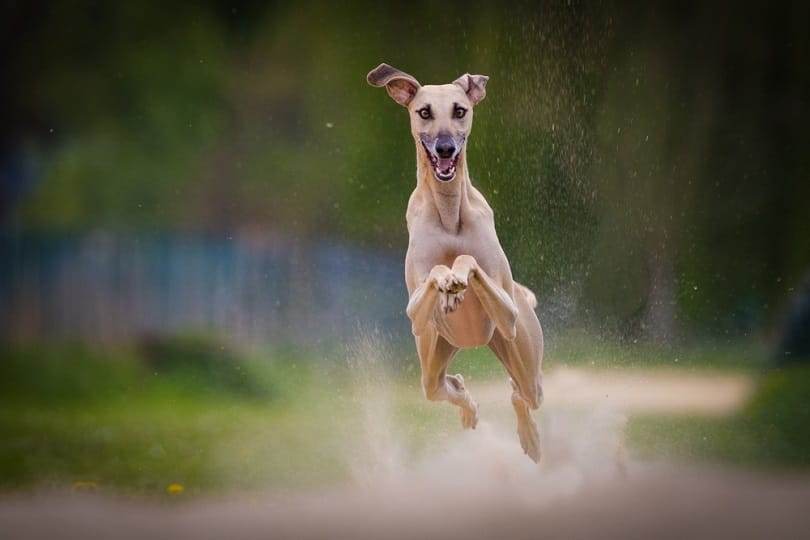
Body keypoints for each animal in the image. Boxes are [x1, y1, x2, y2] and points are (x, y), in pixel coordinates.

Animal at [366, 63, 544, 460]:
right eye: (424, 112)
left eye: (460, 110)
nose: (445, 147)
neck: (449, 213)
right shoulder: (415, 314)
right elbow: (434, 271)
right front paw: (448, 283)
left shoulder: (508, 313)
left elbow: (468, 258)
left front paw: (458, 277)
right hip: (434, 352)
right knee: (441, 387)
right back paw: (469, 407)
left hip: (517, 348)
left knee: (523, 391)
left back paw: (530, 437)